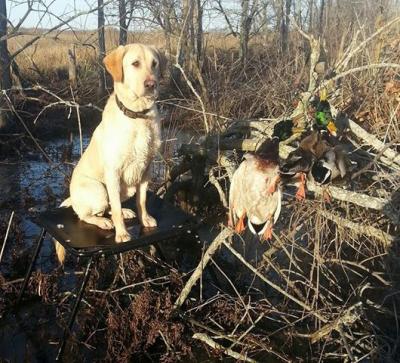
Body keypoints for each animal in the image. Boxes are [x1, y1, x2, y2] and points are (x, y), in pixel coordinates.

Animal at [54, 44, 164, 264]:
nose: (151, 84)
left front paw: (144, 218)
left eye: (154, 63)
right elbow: (116, 211)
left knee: (112, 207)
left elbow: (142, 200)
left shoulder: (146, 169)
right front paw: (122, 234)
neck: (138, 116)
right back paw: (104, 222)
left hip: (126, 188)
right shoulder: (113, 172)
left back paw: (126, 212)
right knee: (89, 214)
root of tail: (72, 198)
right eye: (135, 63)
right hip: (99, 190)